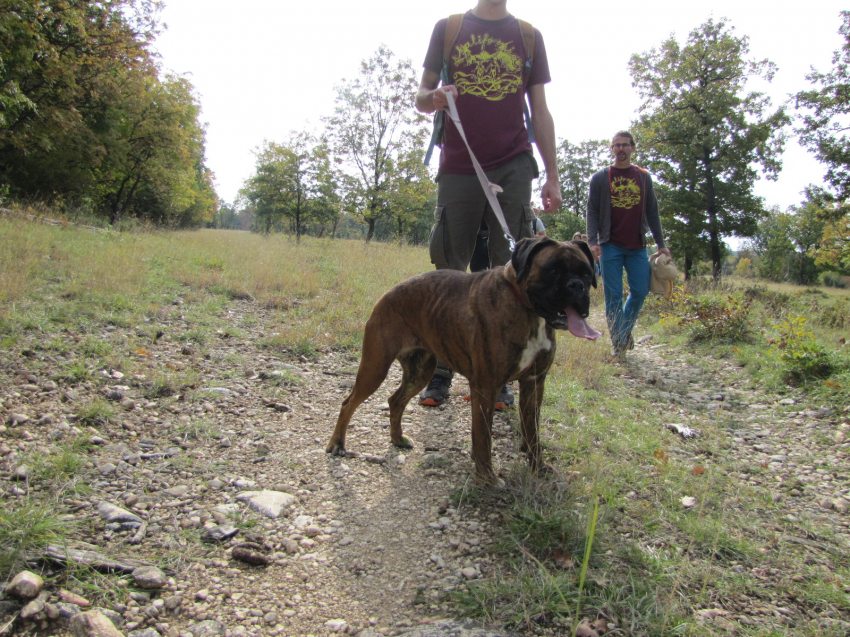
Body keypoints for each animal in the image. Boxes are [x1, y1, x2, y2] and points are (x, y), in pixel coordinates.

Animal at [328, 236, 600, 484]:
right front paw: (487, 479)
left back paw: (397, 439)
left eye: (587, 273)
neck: (528, 310)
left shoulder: (534, 383)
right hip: (375, 367)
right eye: (552, 270)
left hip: (420, 372)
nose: (577, 285)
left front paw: (538, 467)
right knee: (348, 403)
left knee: (395, 401)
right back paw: (337, 444)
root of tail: (389, 292)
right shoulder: (485, 387)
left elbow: (532, 432)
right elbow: (482, 437)